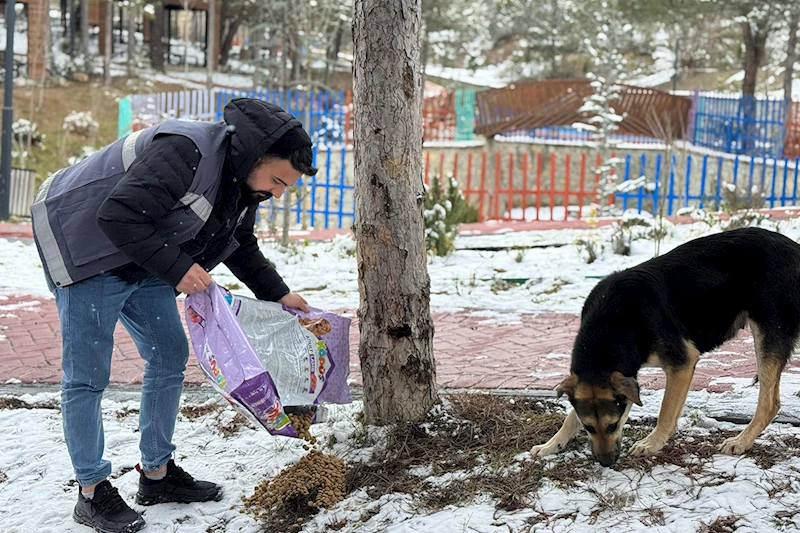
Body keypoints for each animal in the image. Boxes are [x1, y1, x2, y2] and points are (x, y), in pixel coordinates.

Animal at [532, 227, 800, 464]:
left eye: (613, 425)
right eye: (588, 427)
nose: (606, 463)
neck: (611, 324)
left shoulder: (682, 363)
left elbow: (666, 410)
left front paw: (652, 443)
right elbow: (570, 418)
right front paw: (551, 444)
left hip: (766, 335)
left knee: (768, 403)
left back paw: (741, 441)